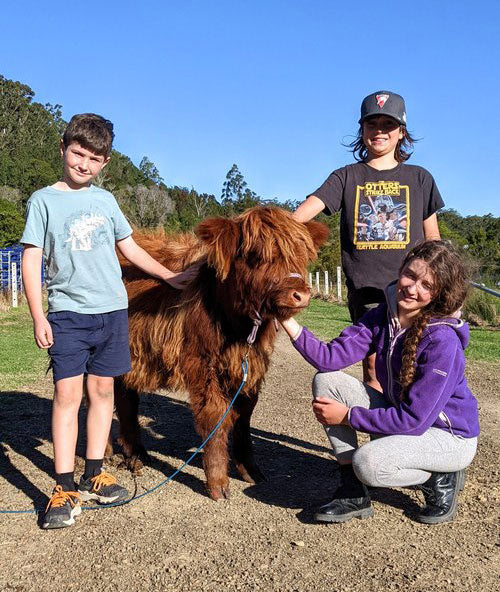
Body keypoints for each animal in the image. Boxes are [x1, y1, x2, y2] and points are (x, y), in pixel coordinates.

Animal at [113, 207, 328, 500]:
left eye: (300, 253)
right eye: (256, 255)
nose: (301, 295)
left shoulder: (250, 365)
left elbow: (243, 415)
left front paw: (250, 470)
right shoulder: (202, 365)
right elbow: (216, 416)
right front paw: (218, 483)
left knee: (125, 398)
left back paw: (135, 454)